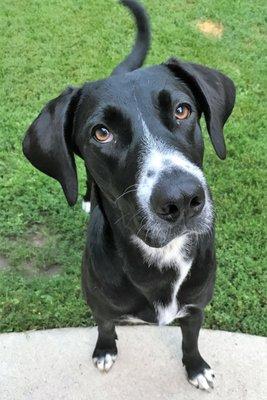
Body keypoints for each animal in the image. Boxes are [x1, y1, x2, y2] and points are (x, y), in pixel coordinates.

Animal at [23, 0, 237, 390]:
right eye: (101, 133)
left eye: (182, 110)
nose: (182, 199)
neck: (162, 257)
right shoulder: (100, 305)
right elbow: (105, 327)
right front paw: (105, 350)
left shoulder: (196, 308)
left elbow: (191, 339)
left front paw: (196, 367)